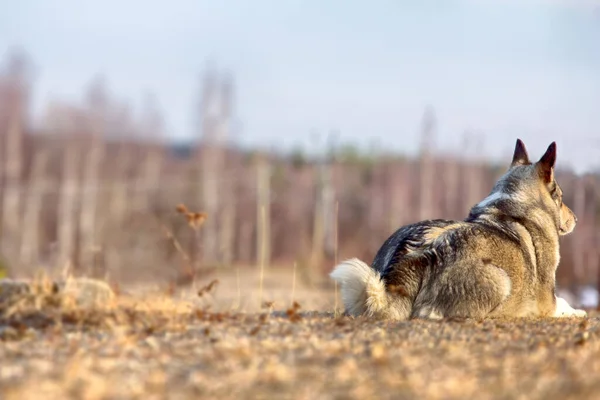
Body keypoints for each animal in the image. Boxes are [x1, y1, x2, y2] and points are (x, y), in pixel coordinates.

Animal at [328, 139, 584, 320]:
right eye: (560, 197)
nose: (576, 218)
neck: (516, 202)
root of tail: (416, 258)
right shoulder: (548, 301)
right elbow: (564, 304)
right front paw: (577, 311)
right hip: (500, 279)